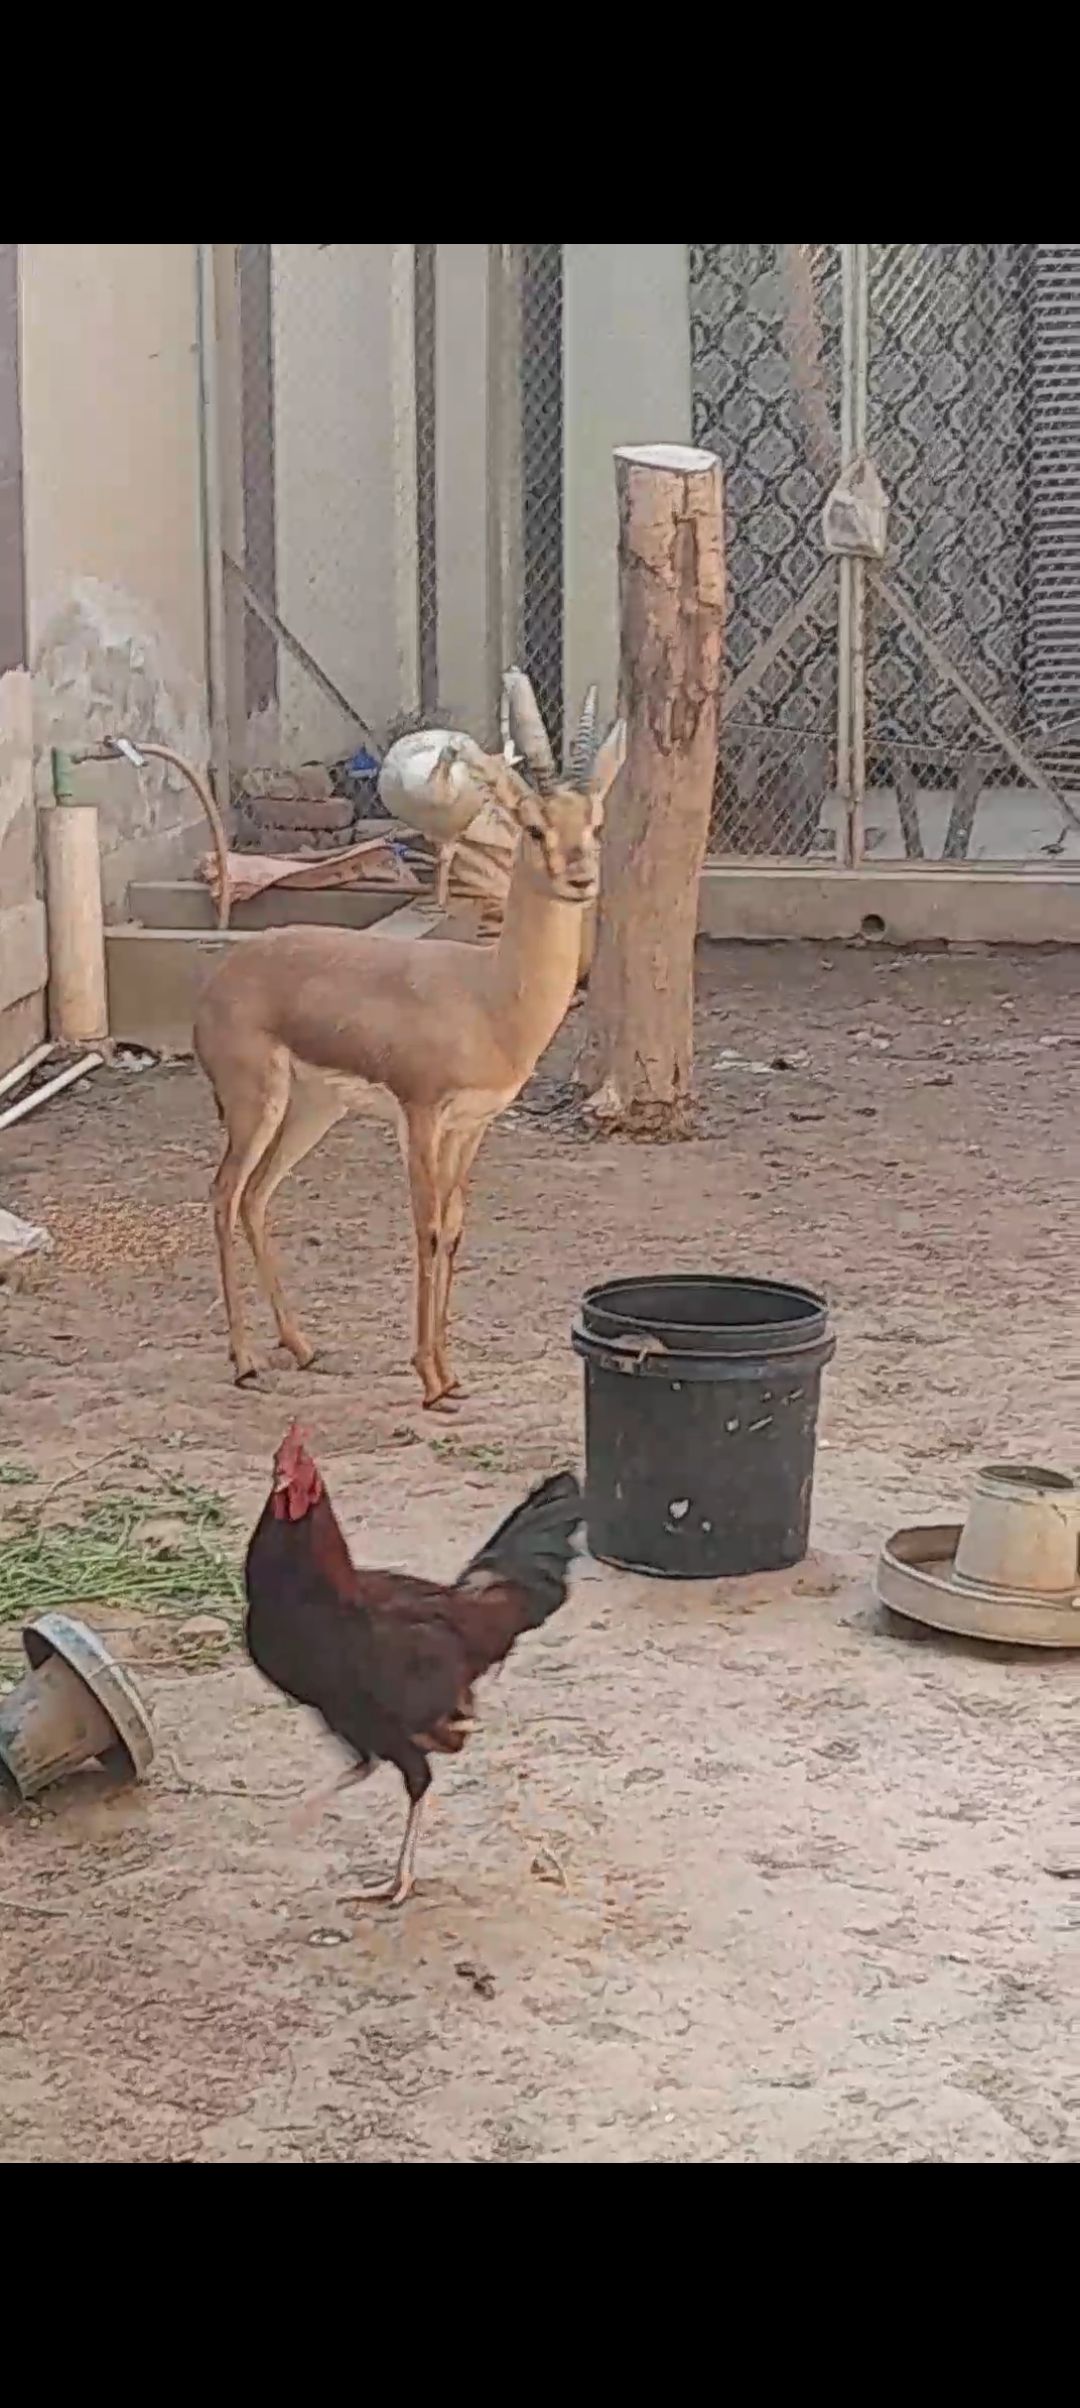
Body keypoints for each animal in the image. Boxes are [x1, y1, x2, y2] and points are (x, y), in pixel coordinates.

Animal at [193, 671, 625, 1412]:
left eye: (593, 823)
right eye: (533, 826)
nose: (580, 878)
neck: (488, 999)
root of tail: (219, 978)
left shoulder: (473, 1126)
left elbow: (452, 1228)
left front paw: (450, 1375)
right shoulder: (420, 1116)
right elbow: (423, 1228)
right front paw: (426, 1380)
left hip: (314, 1110)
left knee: (255, 1197)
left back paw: (301, 1346)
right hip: (257, 1106)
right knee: (224, 1195)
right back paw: (245, 1360)